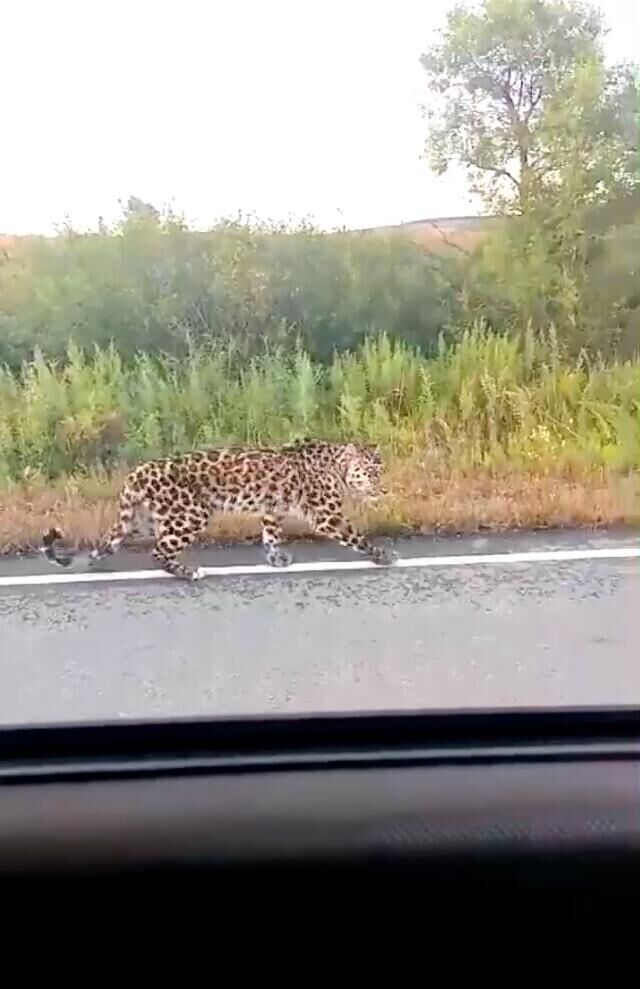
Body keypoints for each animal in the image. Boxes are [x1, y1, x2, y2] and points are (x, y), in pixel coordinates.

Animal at [41, 440, 396, 580]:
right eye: (369, 472)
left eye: (380, 470)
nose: (383, 488)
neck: (337, 467)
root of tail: (137, 472)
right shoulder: (328, 515)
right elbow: (357, 536)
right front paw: (383, 555)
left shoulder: (272, 509)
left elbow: (270, 535)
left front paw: (276, 559)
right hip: (191, 514)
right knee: (158, 551)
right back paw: (189, 573)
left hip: (143, 519)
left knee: (117, 539)